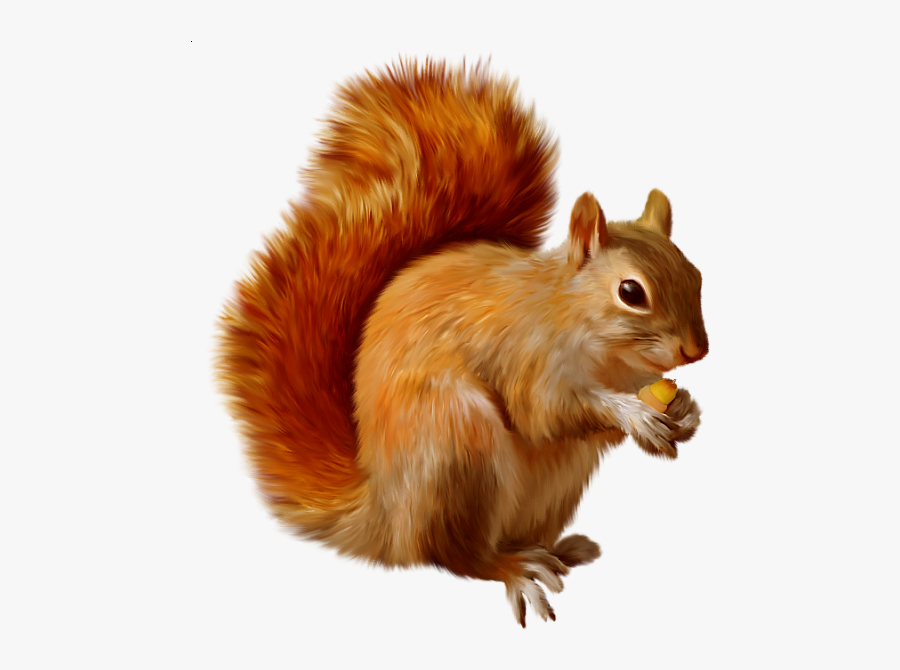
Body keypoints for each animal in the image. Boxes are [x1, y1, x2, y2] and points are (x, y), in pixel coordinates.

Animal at [215, 59, 708, 627]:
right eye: (631, 292)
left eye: (695, 274)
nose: (697, 351)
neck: (605, 353)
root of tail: (387, 518)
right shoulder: (525, 354)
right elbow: (545, 412)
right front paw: (634, 415)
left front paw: (684, 410)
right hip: (457, 447)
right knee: (458, 557)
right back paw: (514, 568)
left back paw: (562, 550)